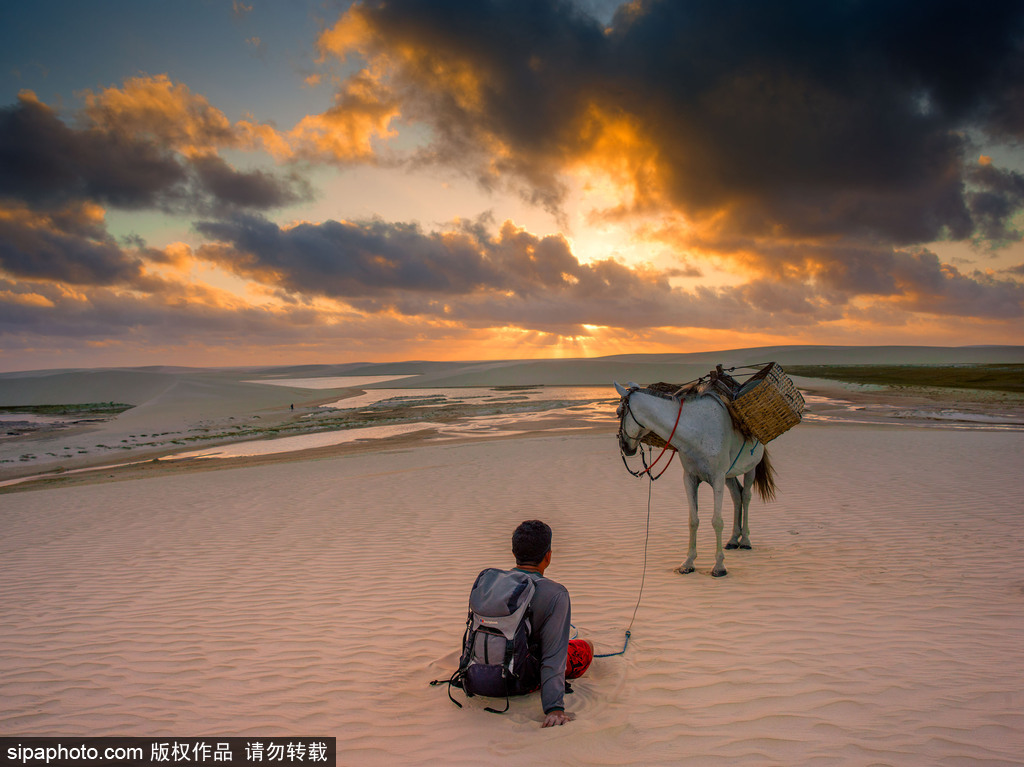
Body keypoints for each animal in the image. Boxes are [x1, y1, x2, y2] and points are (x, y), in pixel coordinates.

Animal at [614, 380, 774, 577]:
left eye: (619, 412)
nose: (624, 446)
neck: (697, 431)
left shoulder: (717, 478)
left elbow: (717, 521)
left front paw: (719, 566)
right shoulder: (690, 478)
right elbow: (693, 520)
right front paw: (688, 563)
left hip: (750, 468)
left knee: (746, 496)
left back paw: (744, 541)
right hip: (729, 474)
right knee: (737, 497)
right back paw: (733, 540)